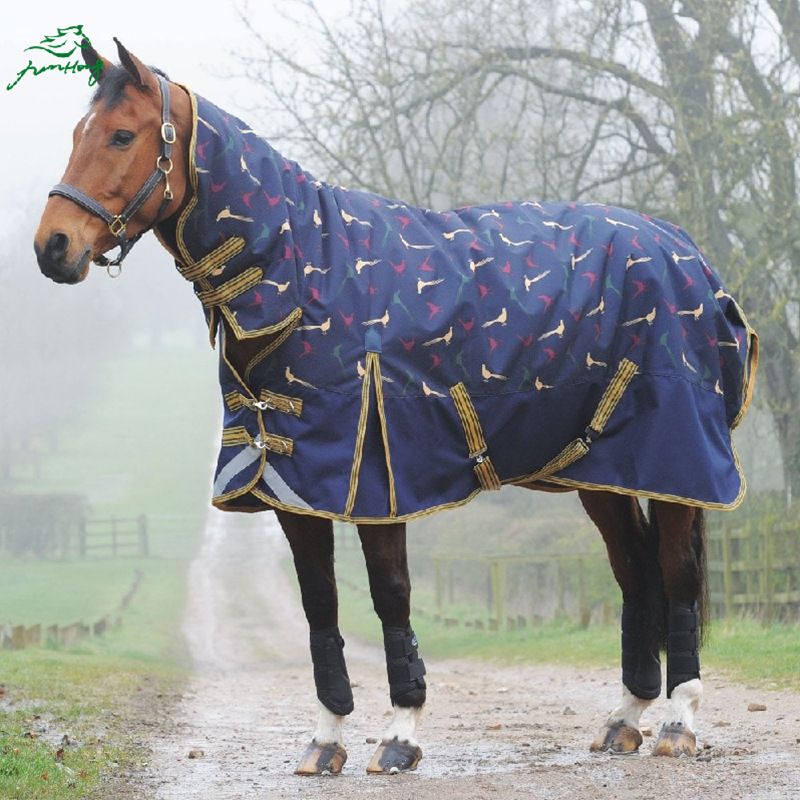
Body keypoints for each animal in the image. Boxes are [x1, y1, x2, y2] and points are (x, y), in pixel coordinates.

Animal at [34, 39, 758, 775]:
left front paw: (401, 734)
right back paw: (624, 720)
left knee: (676, 572)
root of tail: (689, 257)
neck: (305, 278)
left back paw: (677, 723)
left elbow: (390, 595)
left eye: (122, 135)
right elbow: (319, 604)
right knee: (635, 572)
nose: (52, 246)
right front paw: (326, 740)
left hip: (675, 465)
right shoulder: (294, 484)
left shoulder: (378, 478)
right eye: (77, 133)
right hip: (601, 470)